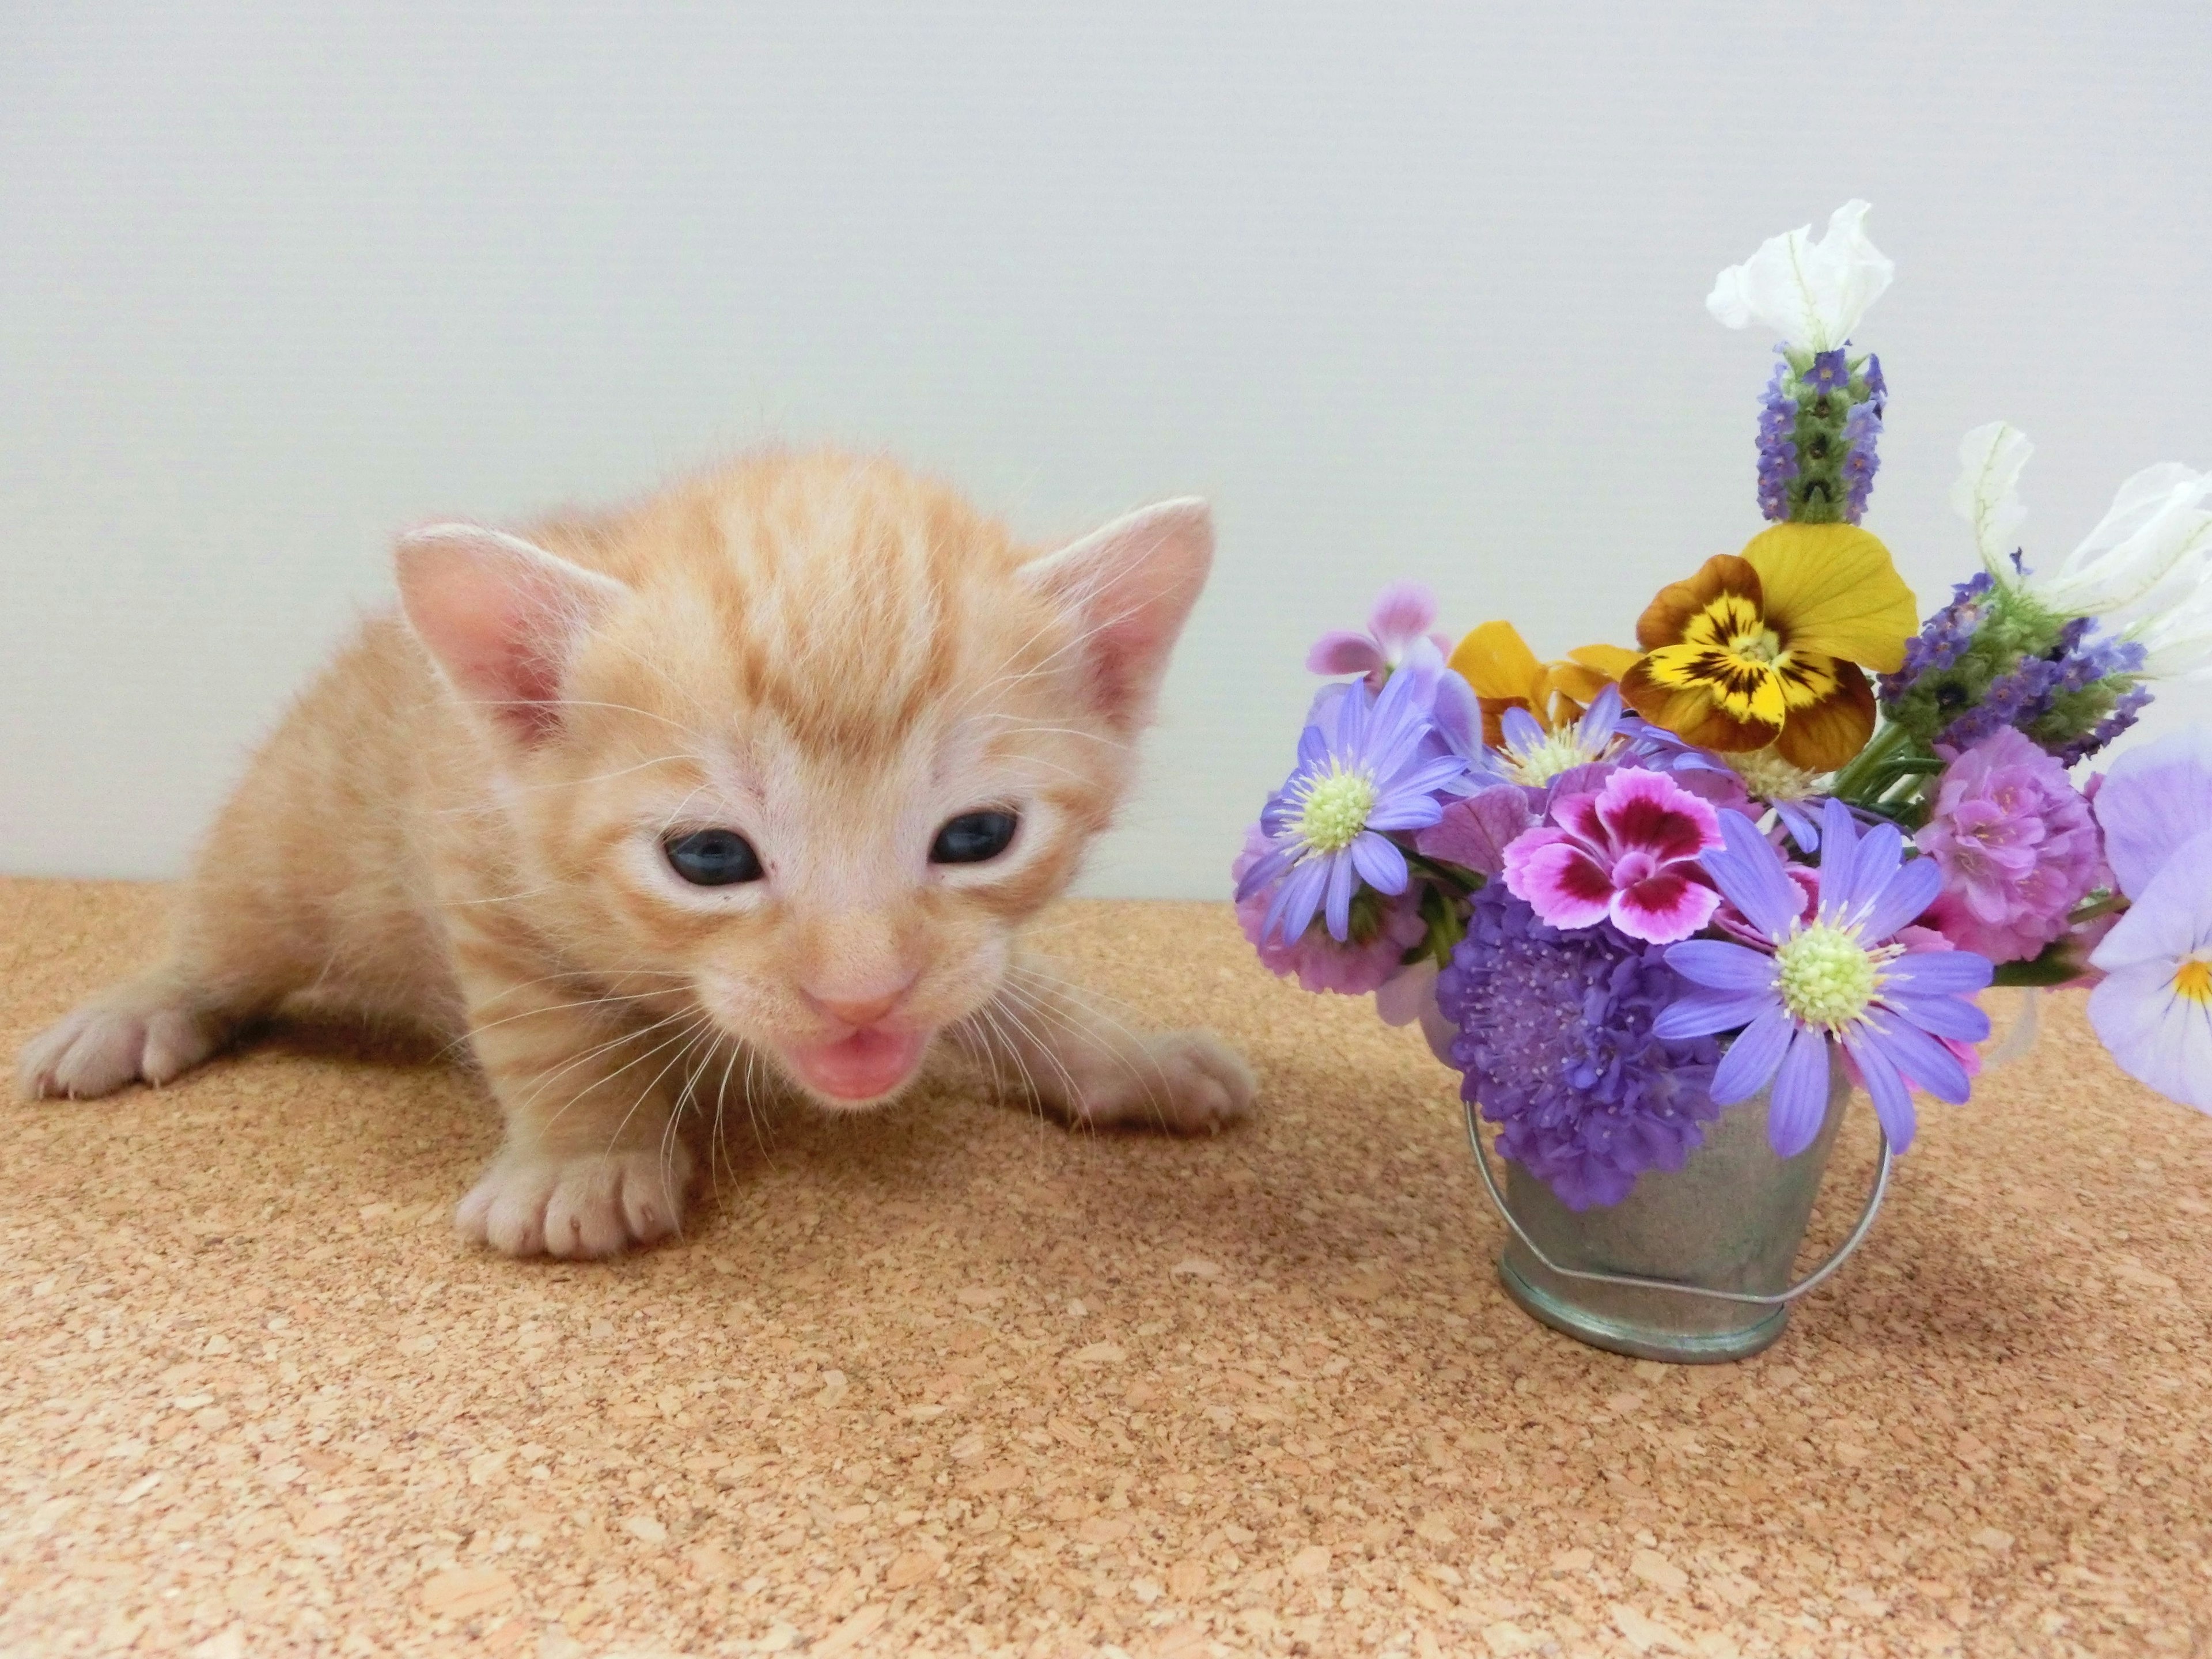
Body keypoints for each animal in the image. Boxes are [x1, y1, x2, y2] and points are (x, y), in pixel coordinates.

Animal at [17, 449, 1256, 1256]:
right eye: (708, 857)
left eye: (978, 837)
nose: (861, 995)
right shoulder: (483, 859)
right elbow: (549, 1028)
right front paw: (585, 1162)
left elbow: (1012, 986)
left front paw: (1129, 1055)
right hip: (288, 838)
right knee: (221, 934)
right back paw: (135, 1011)